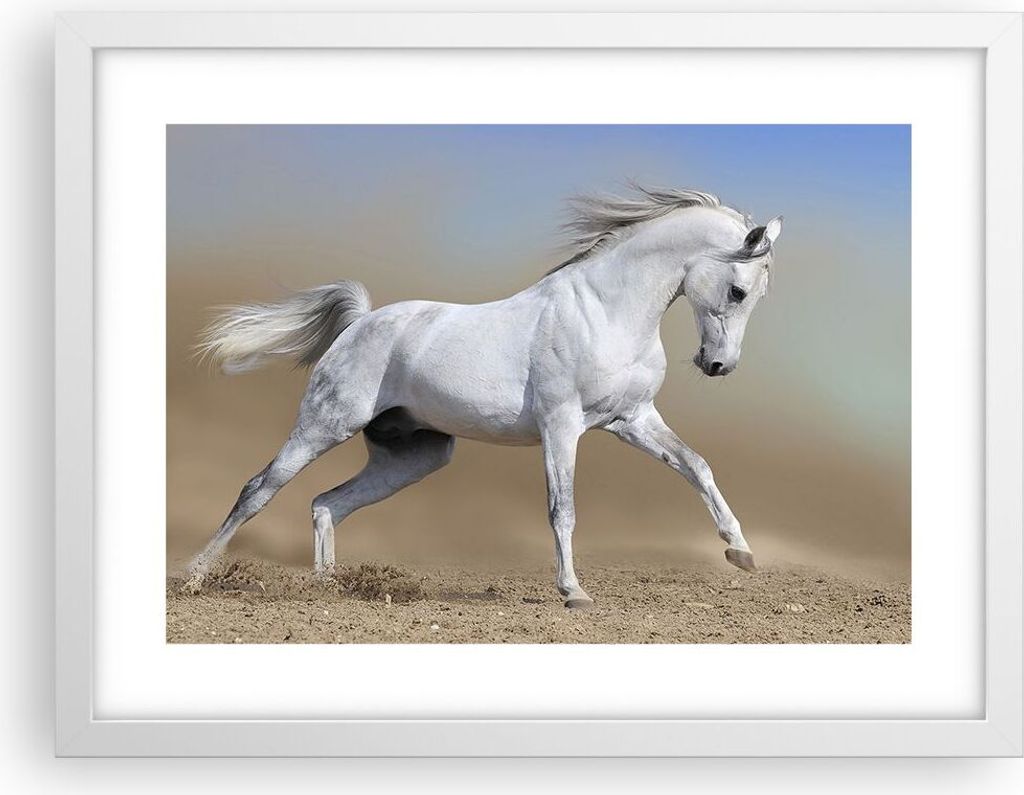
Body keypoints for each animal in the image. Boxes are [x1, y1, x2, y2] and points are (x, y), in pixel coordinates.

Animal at [183, 185, 783, 607]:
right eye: (738, 290)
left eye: (756, 296)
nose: (718, 365)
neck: (606, 311)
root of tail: (360, 323)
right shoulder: (561, 426)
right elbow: (562, 508)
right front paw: (573, 592)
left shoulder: (632, 420)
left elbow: (697, 466)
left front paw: (741, 552)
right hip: (324, 425)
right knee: (258, 489)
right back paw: (194, 577)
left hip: (415, 456)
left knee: (327, 503)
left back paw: (328, 588)